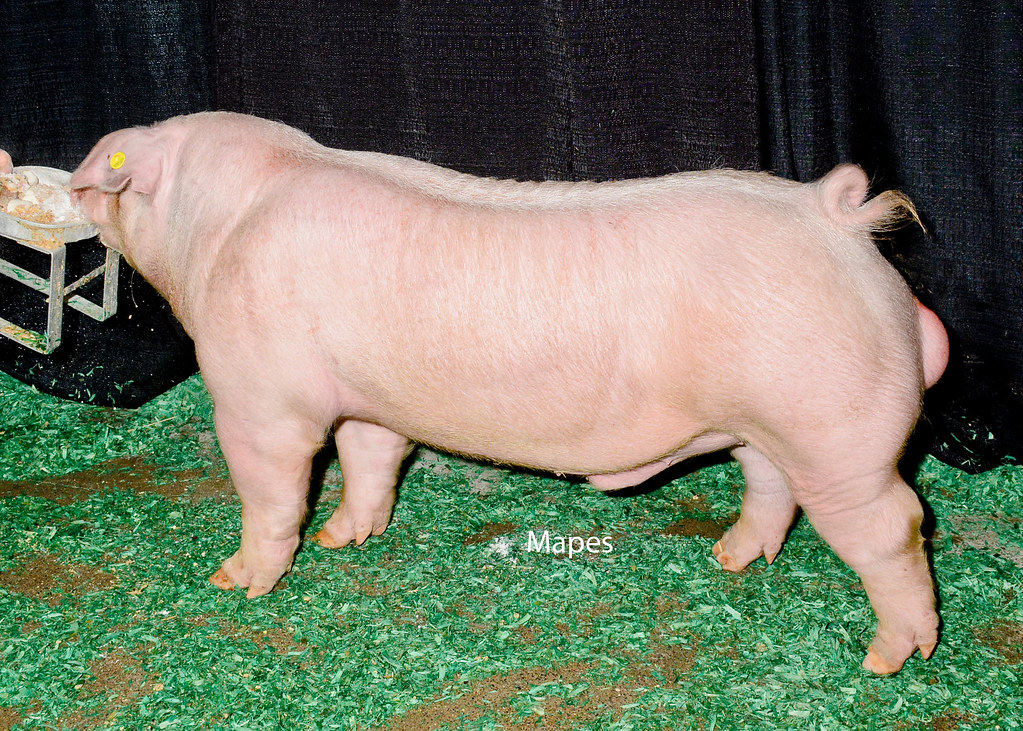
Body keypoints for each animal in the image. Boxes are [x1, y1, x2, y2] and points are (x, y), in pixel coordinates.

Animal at [70, 111, 949, 675]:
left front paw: (236, 579)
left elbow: (273, 485)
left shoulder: (259, 396)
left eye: (109, 178)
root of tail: (836, 220)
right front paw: (346, 538)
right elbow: (370, 457)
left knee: (893, 526)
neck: (215, 227)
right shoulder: (369, 397)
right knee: (770, 487)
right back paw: (730, 558)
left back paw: (887, 658)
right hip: (767, 425)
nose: (71, 189)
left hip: (835, 431)